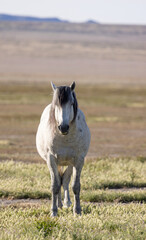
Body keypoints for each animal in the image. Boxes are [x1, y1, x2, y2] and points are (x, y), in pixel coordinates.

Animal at [35, 81, 90, 217]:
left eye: (71, 103)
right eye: (56, 104)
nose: (63, 127)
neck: (65, 138)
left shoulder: (78, 160)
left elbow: (75, 185)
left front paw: (77, 211)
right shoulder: (51, 159)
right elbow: (55, 185)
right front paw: (53, 211)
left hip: (69, 163)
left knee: (64, 180)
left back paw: (66, 203)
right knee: (59, 179)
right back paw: (59, 205)